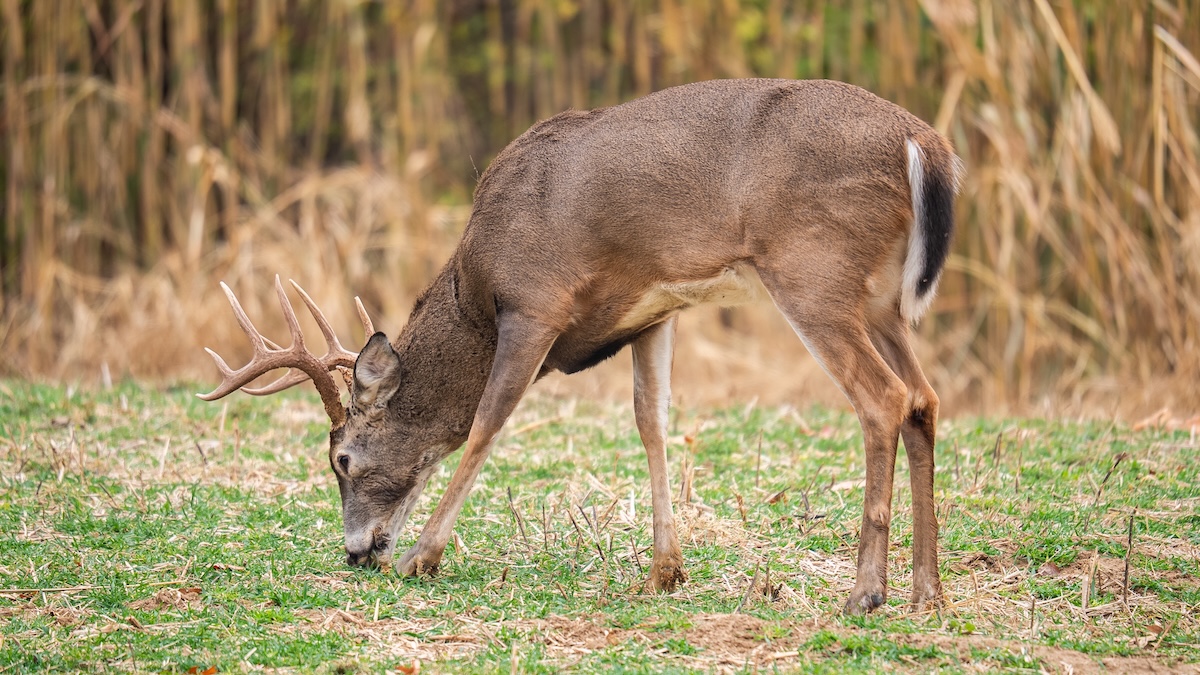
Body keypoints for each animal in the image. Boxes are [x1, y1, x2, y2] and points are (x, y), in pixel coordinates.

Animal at [200, 78, 963, 614]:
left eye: (342, 458)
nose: (359, 551)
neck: (473, 291)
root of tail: (925, 144)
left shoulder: (535, 301)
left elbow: (486, 421)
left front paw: (423, 555)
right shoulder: (655, 309)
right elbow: (652, 422)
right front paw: (665, 571)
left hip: (814, 269)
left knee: (883, 398)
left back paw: (866, 591)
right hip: (881, 298)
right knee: (924, 397)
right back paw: (927, 590)